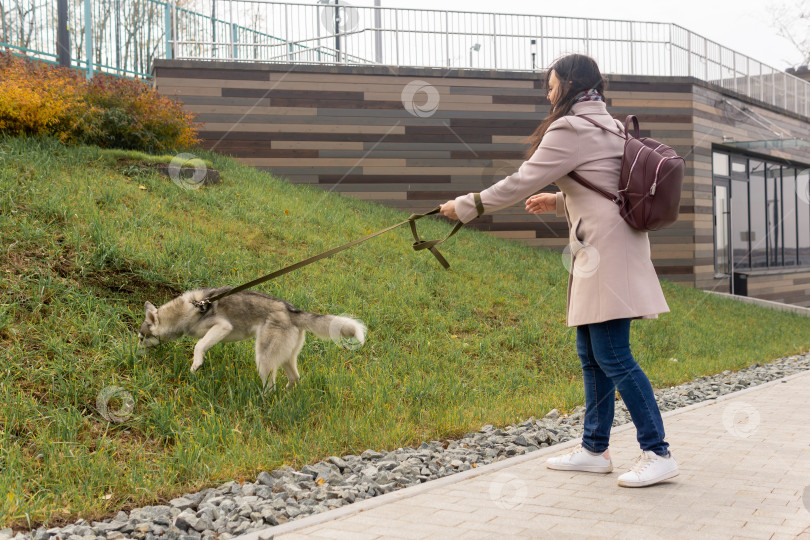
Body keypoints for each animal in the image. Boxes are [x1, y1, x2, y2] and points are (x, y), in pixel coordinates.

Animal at [139, 288, 366, 390]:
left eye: (141, 338)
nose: (138, 355)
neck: (189, 309)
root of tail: (292, 311)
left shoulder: (222, 326)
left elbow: (198, 346)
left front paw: (196, 365)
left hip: (263, 357)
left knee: (270, 385)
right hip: (285, 357)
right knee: (294, 378)